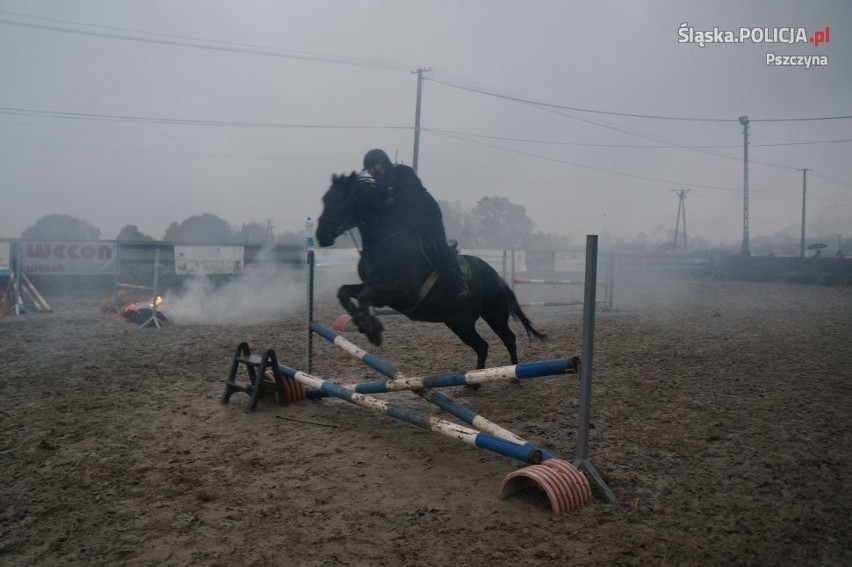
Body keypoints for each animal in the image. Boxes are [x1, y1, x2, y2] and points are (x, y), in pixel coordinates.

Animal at [314, 171, 544, 370]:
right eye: (325, 199)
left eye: (342, 199)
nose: (321, 236)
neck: (386, 242)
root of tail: (496, 276)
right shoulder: (377, 289)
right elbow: (344, 291)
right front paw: (366, 325)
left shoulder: (403, 291)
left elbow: (364, 295)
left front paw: (373, 331)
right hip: (459, 322)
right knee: (482, 346)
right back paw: (475, 381)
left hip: (493, 313)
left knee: (509, 338)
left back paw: (513, 374)